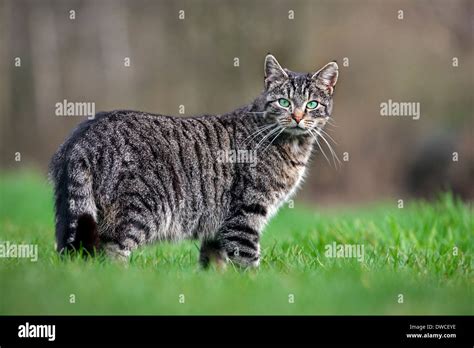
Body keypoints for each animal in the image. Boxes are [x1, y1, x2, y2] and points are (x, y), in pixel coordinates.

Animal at [50, 54, 338, 268]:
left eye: (312, 104)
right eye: (283, 102)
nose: (298, 116)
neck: (294, 146)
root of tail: (83, 135)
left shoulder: (219, 226)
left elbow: (214, 263)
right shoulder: (245, 215)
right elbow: (248, 261)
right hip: (135, 212)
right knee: (110, 256)